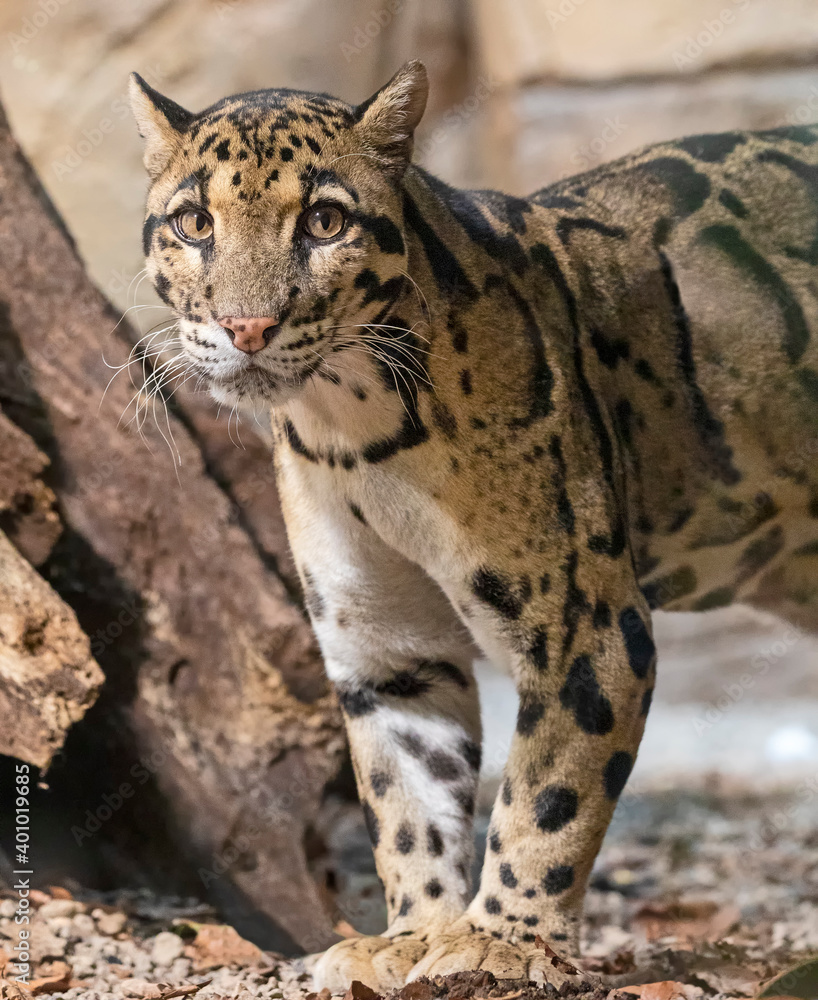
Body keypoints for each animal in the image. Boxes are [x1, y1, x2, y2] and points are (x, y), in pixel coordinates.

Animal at [129, 60, 818, 992]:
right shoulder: (385, 644)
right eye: (194, 222)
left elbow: (547, 795)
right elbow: (406, 798)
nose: (246, 327)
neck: (353, 434)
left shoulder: (589, 626)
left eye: (324, 221)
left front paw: (507, 939)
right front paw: (412, 933)